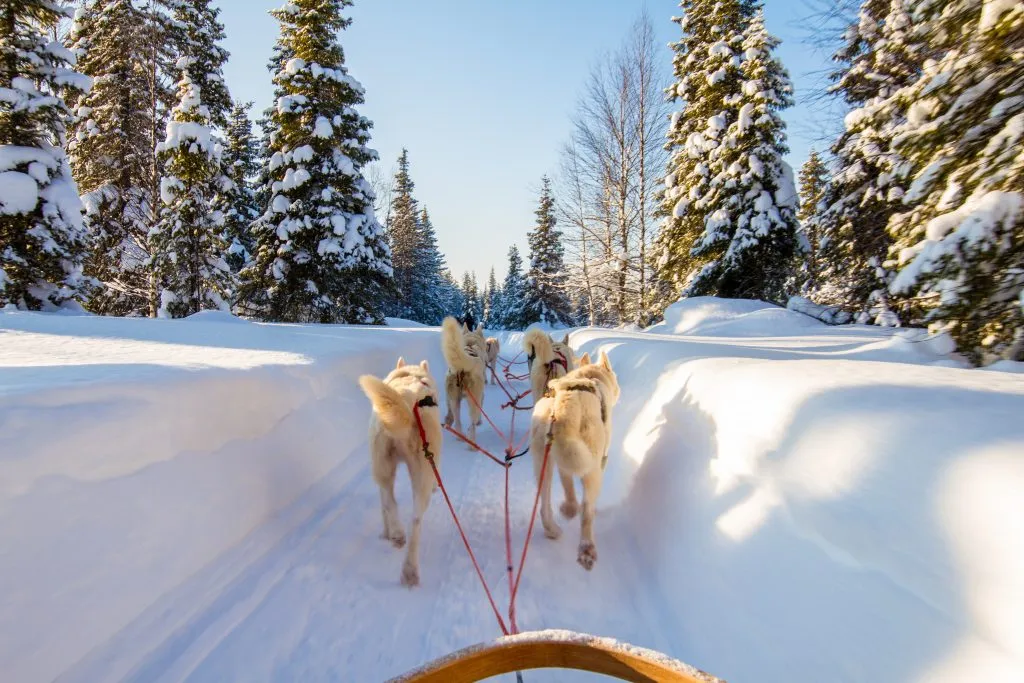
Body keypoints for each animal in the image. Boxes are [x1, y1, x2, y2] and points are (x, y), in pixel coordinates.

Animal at [358, 358, 442, 589]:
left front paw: (386, 532)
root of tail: (407, 399)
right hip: (417, 470)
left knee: (394, 503)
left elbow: (384, 505)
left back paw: (398, 541)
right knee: (413, 517)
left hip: (385, 465)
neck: (411, 377)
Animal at [532, 352, 618, 573]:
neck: (590, 376)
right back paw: (587, 549)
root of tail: (565, 407)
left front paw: (569, 508)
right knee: (586, 512)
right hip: (591, 467)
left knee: (545, 504)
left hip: (545, 460)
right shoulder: (600, 459)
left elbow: (568, 484)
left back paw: (555, 526)